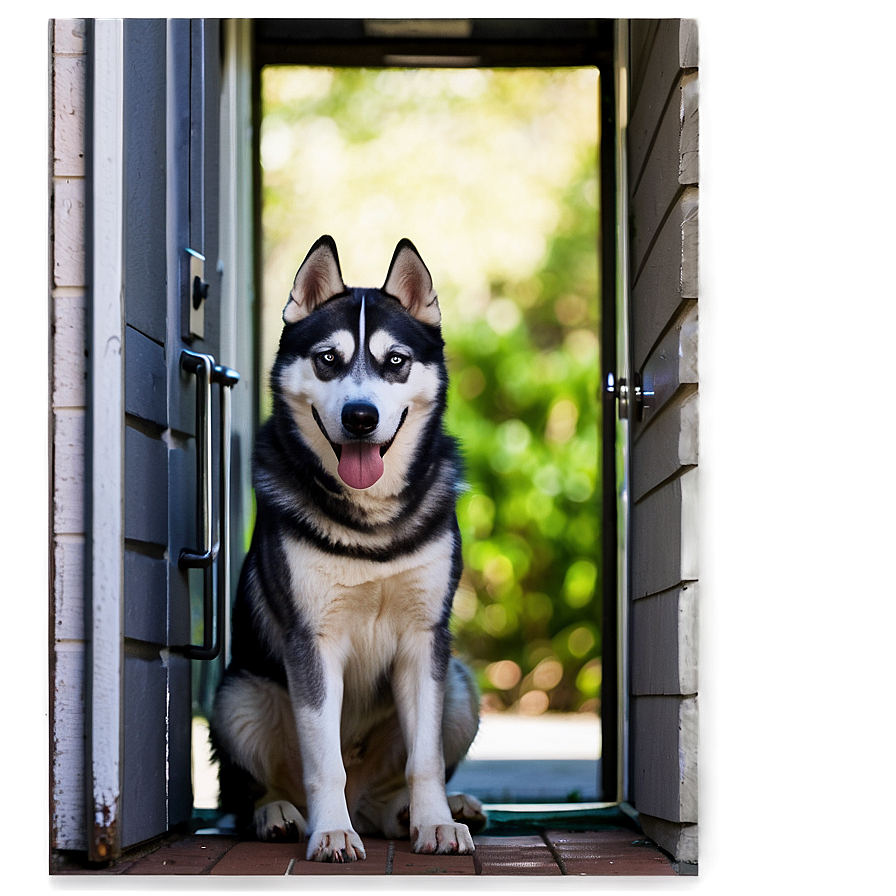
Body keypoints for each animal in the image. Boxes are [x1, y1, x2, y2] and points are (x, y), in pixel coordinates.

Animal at [210, 236, 484, 860]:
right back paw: (281, 815)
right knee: (251, 794)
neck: (370, 528)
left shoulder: (425, 641)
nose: (362, 416)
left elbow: (425, 760)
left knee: (389, 791)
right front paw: (331, 832)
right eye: (328, 360)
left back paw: (417, 811)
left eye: (396, 361)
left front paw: (435, 823)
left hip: (459, 685)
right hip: (238, 698)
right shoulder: (311, 641)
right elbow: (324, 763)